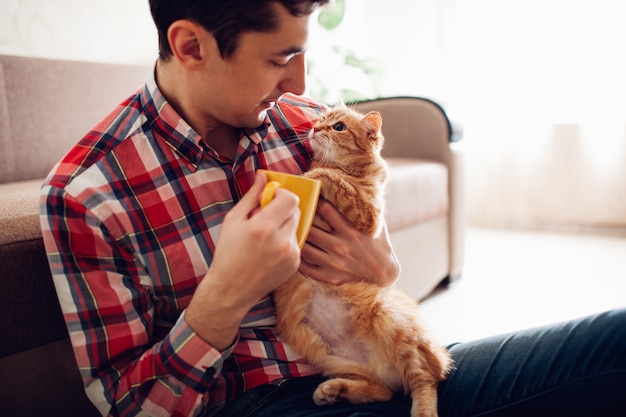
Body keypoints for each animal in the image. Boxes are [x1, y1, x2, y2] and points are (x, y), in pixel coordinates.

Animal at [270, 105, 450, 416]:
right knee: (384, 391)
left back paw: (422, 410)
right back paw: (333, 391)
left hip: (390, 320)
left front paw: (315, 175)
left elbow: (335, 182)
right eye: (322, 119)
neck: (344, 167)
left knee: (425, 379)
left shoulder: (369, 215)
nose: (315, 128)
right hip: (335, 361)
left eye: (339, 127)